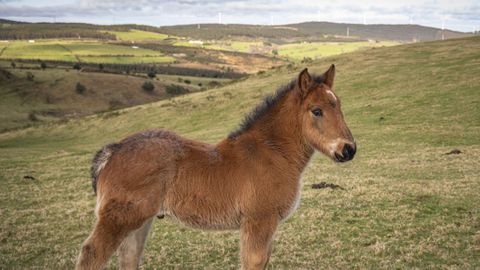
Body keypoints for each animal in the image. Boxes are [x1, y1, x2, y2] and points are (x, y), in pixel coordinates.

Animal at [77, 64, 356, 268]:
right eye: (316, 111)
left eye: (339, 105)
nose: (348, 149)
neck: (272, 152)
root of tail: (113, 150)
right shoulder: (259, 221)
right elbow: (254, 263)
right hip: (118, 219)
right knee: (91, 254)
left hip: (139, 221)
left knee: (129, 257)